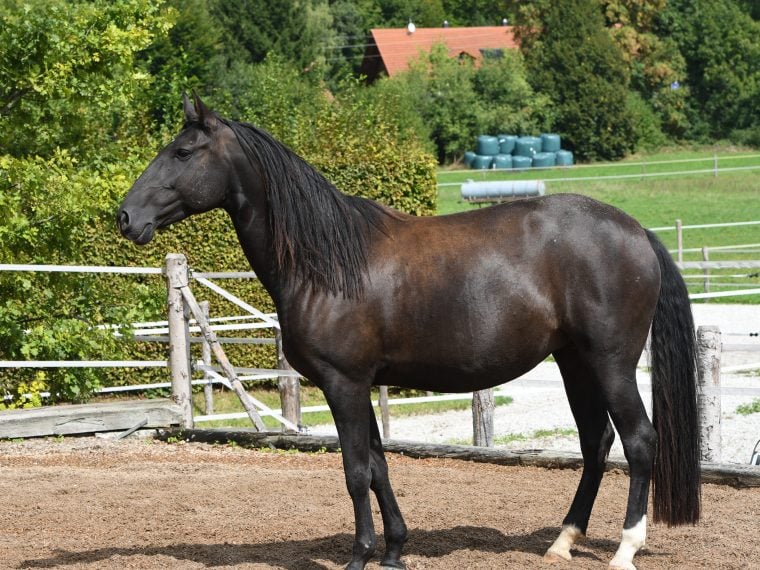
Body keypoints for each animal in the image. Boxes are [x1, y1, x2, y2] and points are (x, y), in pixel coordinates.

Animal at [120, 94, 700, 568]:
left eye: (183, 152)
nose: (126, 216)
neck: (327, 262)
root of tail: (636, 231)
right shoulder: (360, 385)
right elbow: (379, 466)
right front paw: (395, 550)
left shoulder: (343, 383)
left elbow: (356, 471)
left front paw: (360, 556)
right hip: (575, 362)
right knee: (595, 441)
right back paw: (562, 542)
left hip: (610, 362)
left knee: (639, 441)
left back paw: (625, 549)